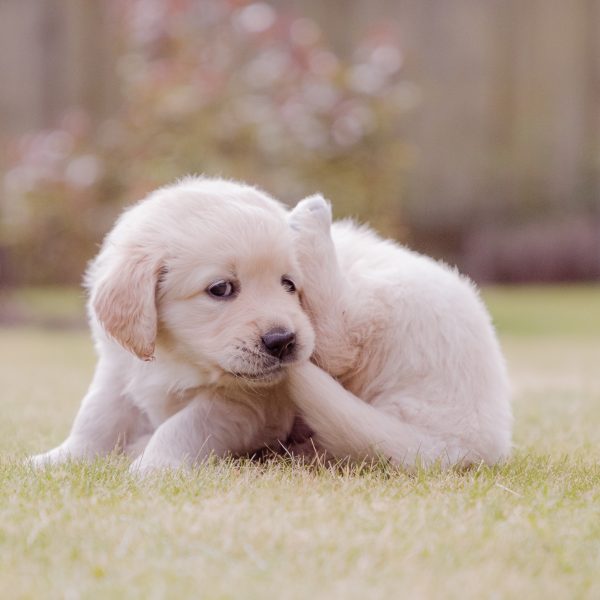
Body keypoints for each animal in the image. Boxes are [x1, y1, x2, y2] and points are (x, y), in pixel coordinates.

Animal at [29, 178, 314, 474]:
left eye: (289, 284)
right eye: (220, 288)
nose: (282, 339)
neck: (177, 357)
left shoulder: (247, 400)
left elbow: (184, 424)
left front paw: (154, 464)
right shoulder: (119, 367)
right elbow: (96, 414)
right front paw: (61, 457)